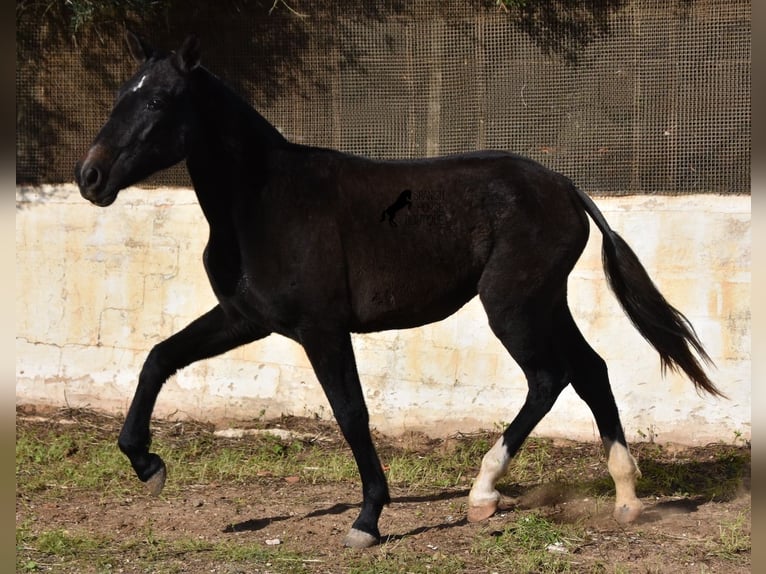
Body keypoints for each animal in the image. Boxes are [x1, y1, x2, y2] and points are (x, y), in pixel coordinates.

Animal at [75, 33, 724, 552]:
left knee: (550, 378)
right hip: (542, 303)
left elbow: (351, 412)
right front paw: (147, 464)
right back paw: (624, 498)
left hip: (513, 306)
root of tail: (565, 186)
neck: (261, 201)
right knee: (590, 370)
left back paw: (485, 493)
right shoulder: (245, 316)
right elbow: (159, 357)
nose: (90, 178)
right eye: (121, 95)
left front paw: (367, 520)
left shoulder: (321, 328)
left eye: (157, 101)